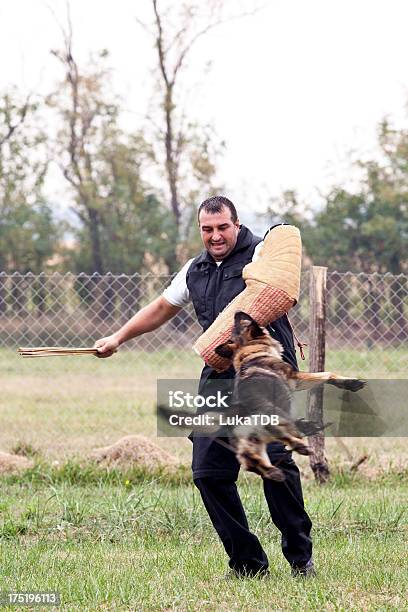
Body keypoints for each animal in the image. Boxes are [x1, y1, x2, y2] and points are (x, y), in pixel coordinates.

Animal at [158, 314, 364, 480]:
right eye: (245, 321)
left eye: (238, 324)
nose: (238, 311)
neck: (250, 352)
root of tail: (236, 410)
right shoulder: (296, 378)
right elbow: (327, 374)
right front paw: (350, 383)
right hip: (275, 417)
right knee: (281, 432)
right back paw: (301, 444)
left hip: (252, 443)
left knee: (251, 462)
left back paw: (274, 470)